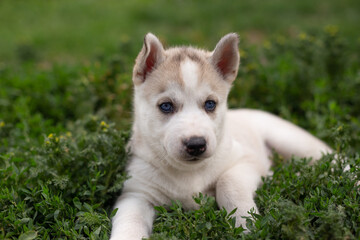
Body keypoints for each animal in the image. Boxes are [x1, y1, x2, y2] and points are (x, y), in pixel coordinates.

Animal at [110, 32, 332, 239]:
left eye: (210, 104)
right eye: (166, 106)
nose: (196, 144)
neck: (189, 173)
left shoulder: (248, 160)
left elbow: (228, 183)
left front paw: (246, 225)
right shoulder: (136, 193)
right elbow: (129, 220)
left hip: (293, 142)